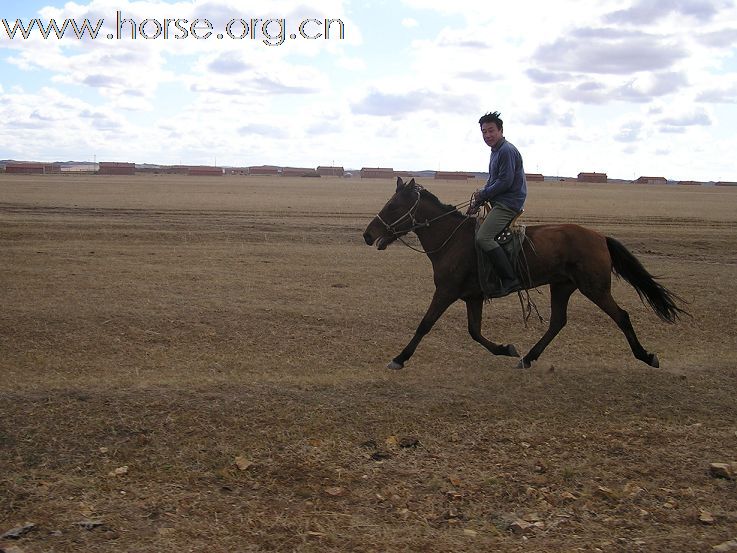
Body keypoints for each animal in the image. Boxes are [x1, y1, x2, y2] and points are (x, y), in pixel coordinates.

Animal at [360, 179, 684, 368]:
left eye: (393, 206)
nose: (367, 234)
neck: (452, 240)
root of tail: (600, 237)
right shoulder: (472, 297)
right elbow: (475, 332)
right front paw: (507, 349)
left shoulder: (446, 292)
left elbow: (425, 325)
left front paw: (399, 358)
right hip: (562, 286)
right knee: (557, 322)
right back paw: (529, 357)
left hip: (595, 288)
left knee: (621, 317)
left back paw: (646, 356)